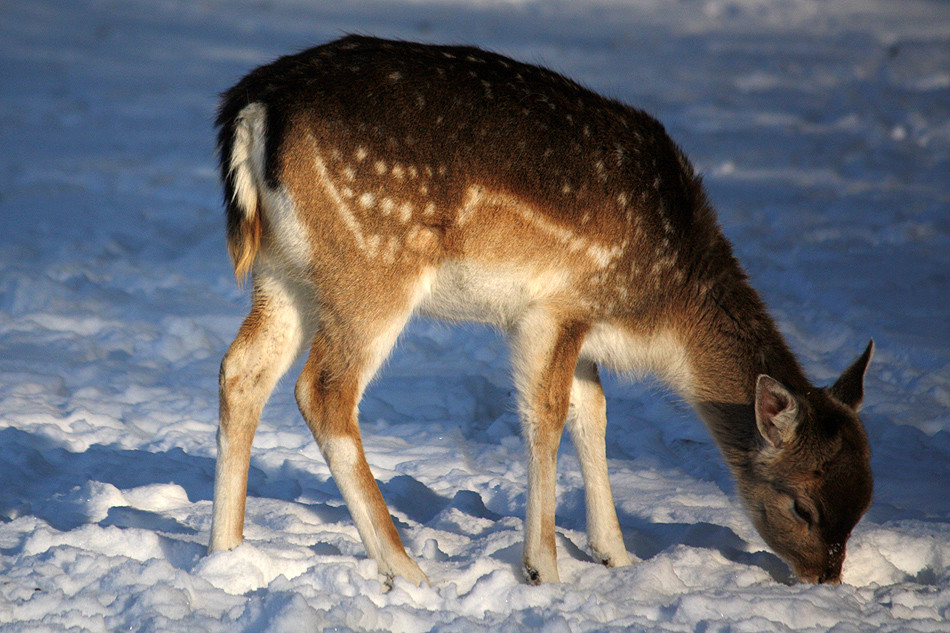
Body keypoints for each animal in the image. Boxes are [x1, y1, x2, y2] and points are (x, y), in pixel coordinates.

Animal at [208, 34, 876, 588]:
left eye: (865, 504)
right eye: (802, 505)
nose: (826, 578)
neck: (662, 312)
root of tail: (253, 108)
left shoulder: (579, 322)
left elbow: (593, 413)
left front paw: (617, 556)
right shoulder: (553, 307)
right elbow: (546, 417)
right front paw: (544, 570)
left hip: (284, 271)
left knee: (242, 369)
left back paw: (226, 554)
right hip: (374, 266)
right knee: (323, 390)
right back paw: (409, 572)